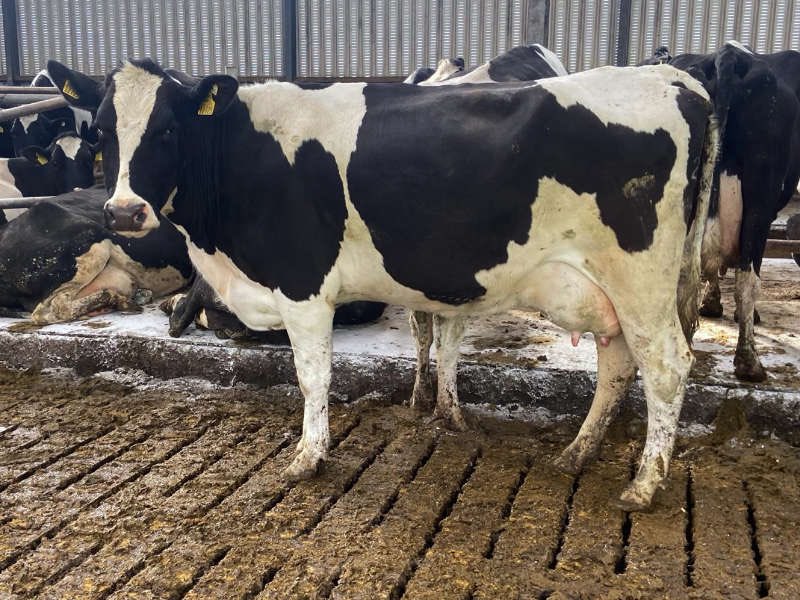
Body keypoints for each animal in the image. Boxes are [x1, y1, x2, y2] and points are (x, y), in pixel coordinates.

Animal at [48, 57, 716, 510]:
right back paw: (578, 452)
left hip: (642, 281)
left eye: (167, 130)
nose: (124, 213)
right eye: (102, 130)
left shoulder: (303, 284)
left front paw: (307, 457)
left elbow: (313, 375)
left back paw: (645, 483)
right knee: (618, 363)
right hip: (609, 290)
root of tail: (673, 79)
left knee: (666, 367)